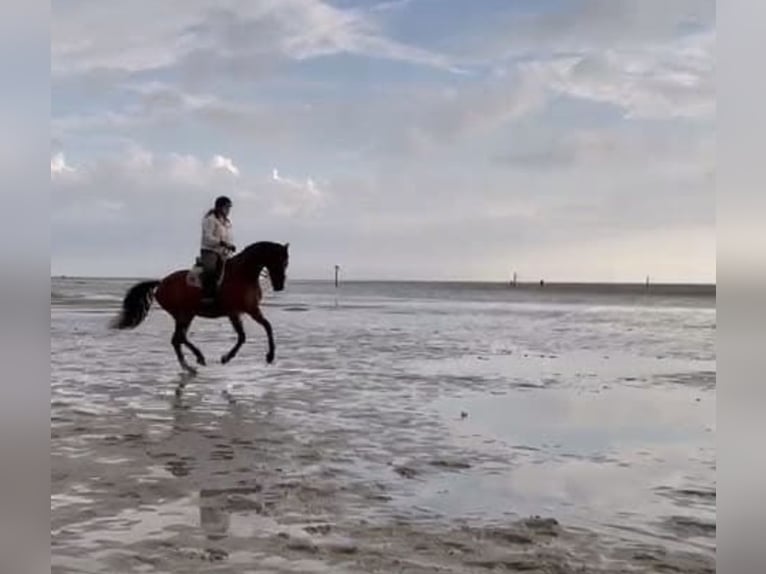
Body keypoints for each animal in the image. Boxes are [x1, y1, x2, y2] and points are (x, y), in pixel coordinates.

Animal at [113, 243, 292, 378]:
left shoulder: (251, 309)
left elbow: (267, 327)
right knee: (178, 338)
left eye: (286, 263)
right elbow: (243, 336)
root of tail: (161, 282)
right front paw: (226, 358)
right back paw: (197, 359)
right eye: (280, 261)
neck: (243, 274)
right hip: (183, 314)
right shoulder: (236, 312)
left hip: (187, 315)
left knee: (177, 339)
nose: (280, 285)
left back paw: (191, 365)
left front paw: (269, 356)